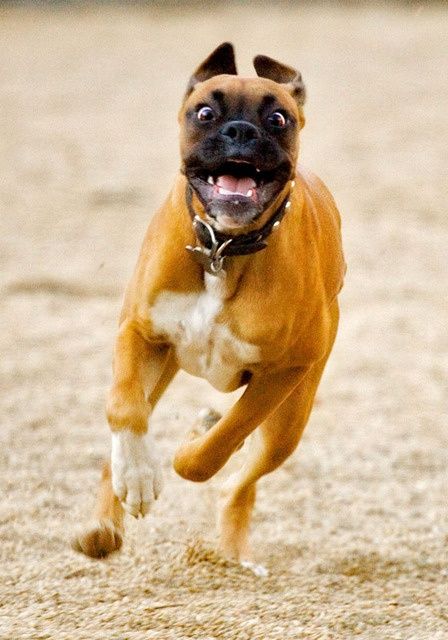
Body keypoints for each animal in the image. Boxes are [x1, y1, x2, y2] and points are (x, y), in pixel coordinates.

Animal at [74, 45, 346, 576]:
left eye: (278, 118)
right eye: (204, 113)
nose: (240, 131)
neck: (223, 248)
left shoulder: (285, 373)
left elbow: (217, 447)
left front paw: (189, 447)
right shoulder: (136, 331)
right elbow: (123, 408)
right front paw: (137, 475)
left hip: (290, 420)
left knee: (239, 482)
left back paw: (232, 545)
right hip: (159, 367)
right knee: (127, 427)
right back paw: (104, 522)